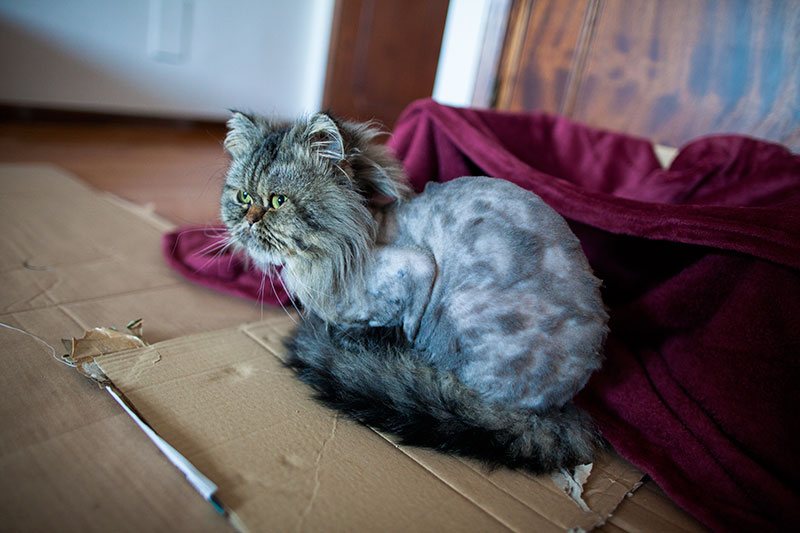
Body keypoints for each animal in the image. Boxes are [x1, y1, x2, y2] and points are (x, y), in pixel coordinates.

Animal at [219, 110, 608, 472]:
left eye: (278, 201)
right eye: (242, 196)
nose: (247, 222)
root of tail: (557, 409)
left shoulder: (418, 268)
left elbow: (390, 327)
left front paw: (354, 339)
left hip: (460, 307)